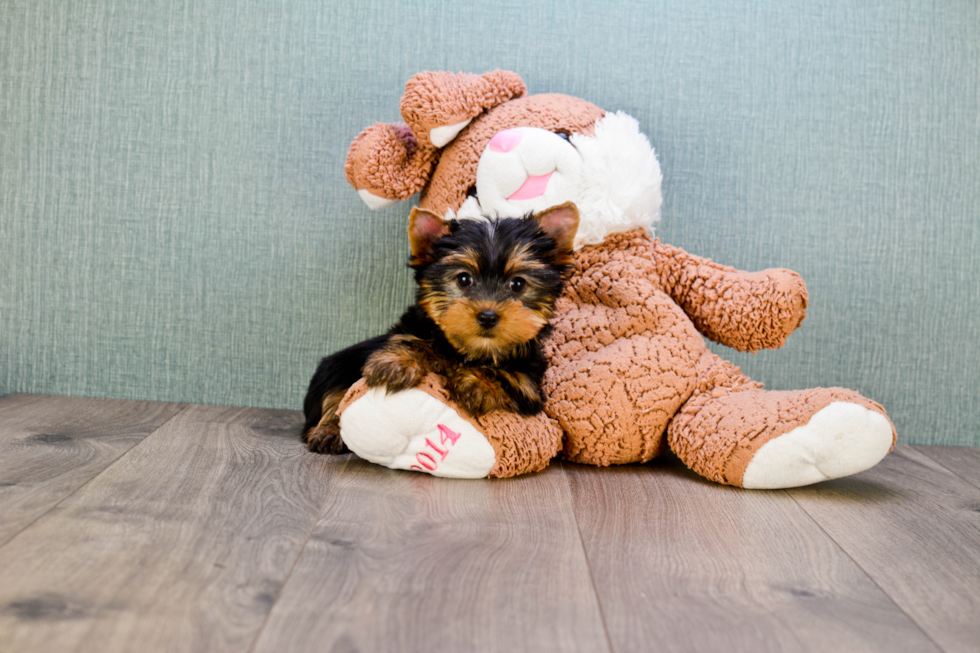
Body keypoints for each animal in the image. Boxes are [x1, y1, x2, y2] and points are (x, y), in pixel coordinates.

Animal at [302, 201, 580, 450]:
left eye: (518, 284)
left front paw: (479, 384)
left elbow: (507, 378)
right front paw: (396, 363)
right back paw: (328, 431)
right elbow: (410, 341)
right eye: (464, 279)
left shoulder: (529, 387)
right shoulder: (412, 329)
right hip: (338, 364)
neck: (467, 350)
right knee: (334, 396)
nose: (488, 316)